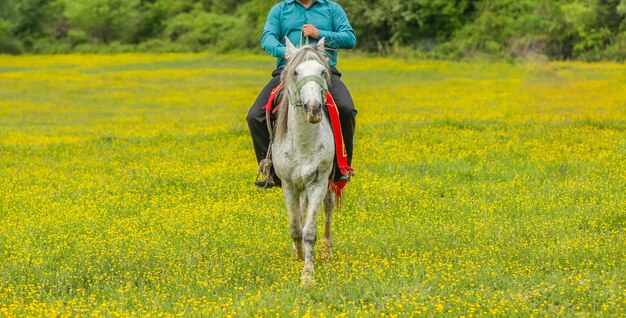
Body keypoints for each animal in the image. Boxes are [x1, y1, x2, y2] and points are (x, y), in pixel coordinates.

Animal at [270, 38, 334, 286]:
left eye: (323, 71)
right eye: (296, 72)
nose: (313, 108)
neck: (303, 143)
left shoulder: (318, 183)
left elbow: (309, 231)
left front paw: (308, 275)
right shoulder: (288, 185)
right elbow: (296, 227)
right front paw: (297, 256)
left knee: (328, 208)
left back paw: (327, 249)